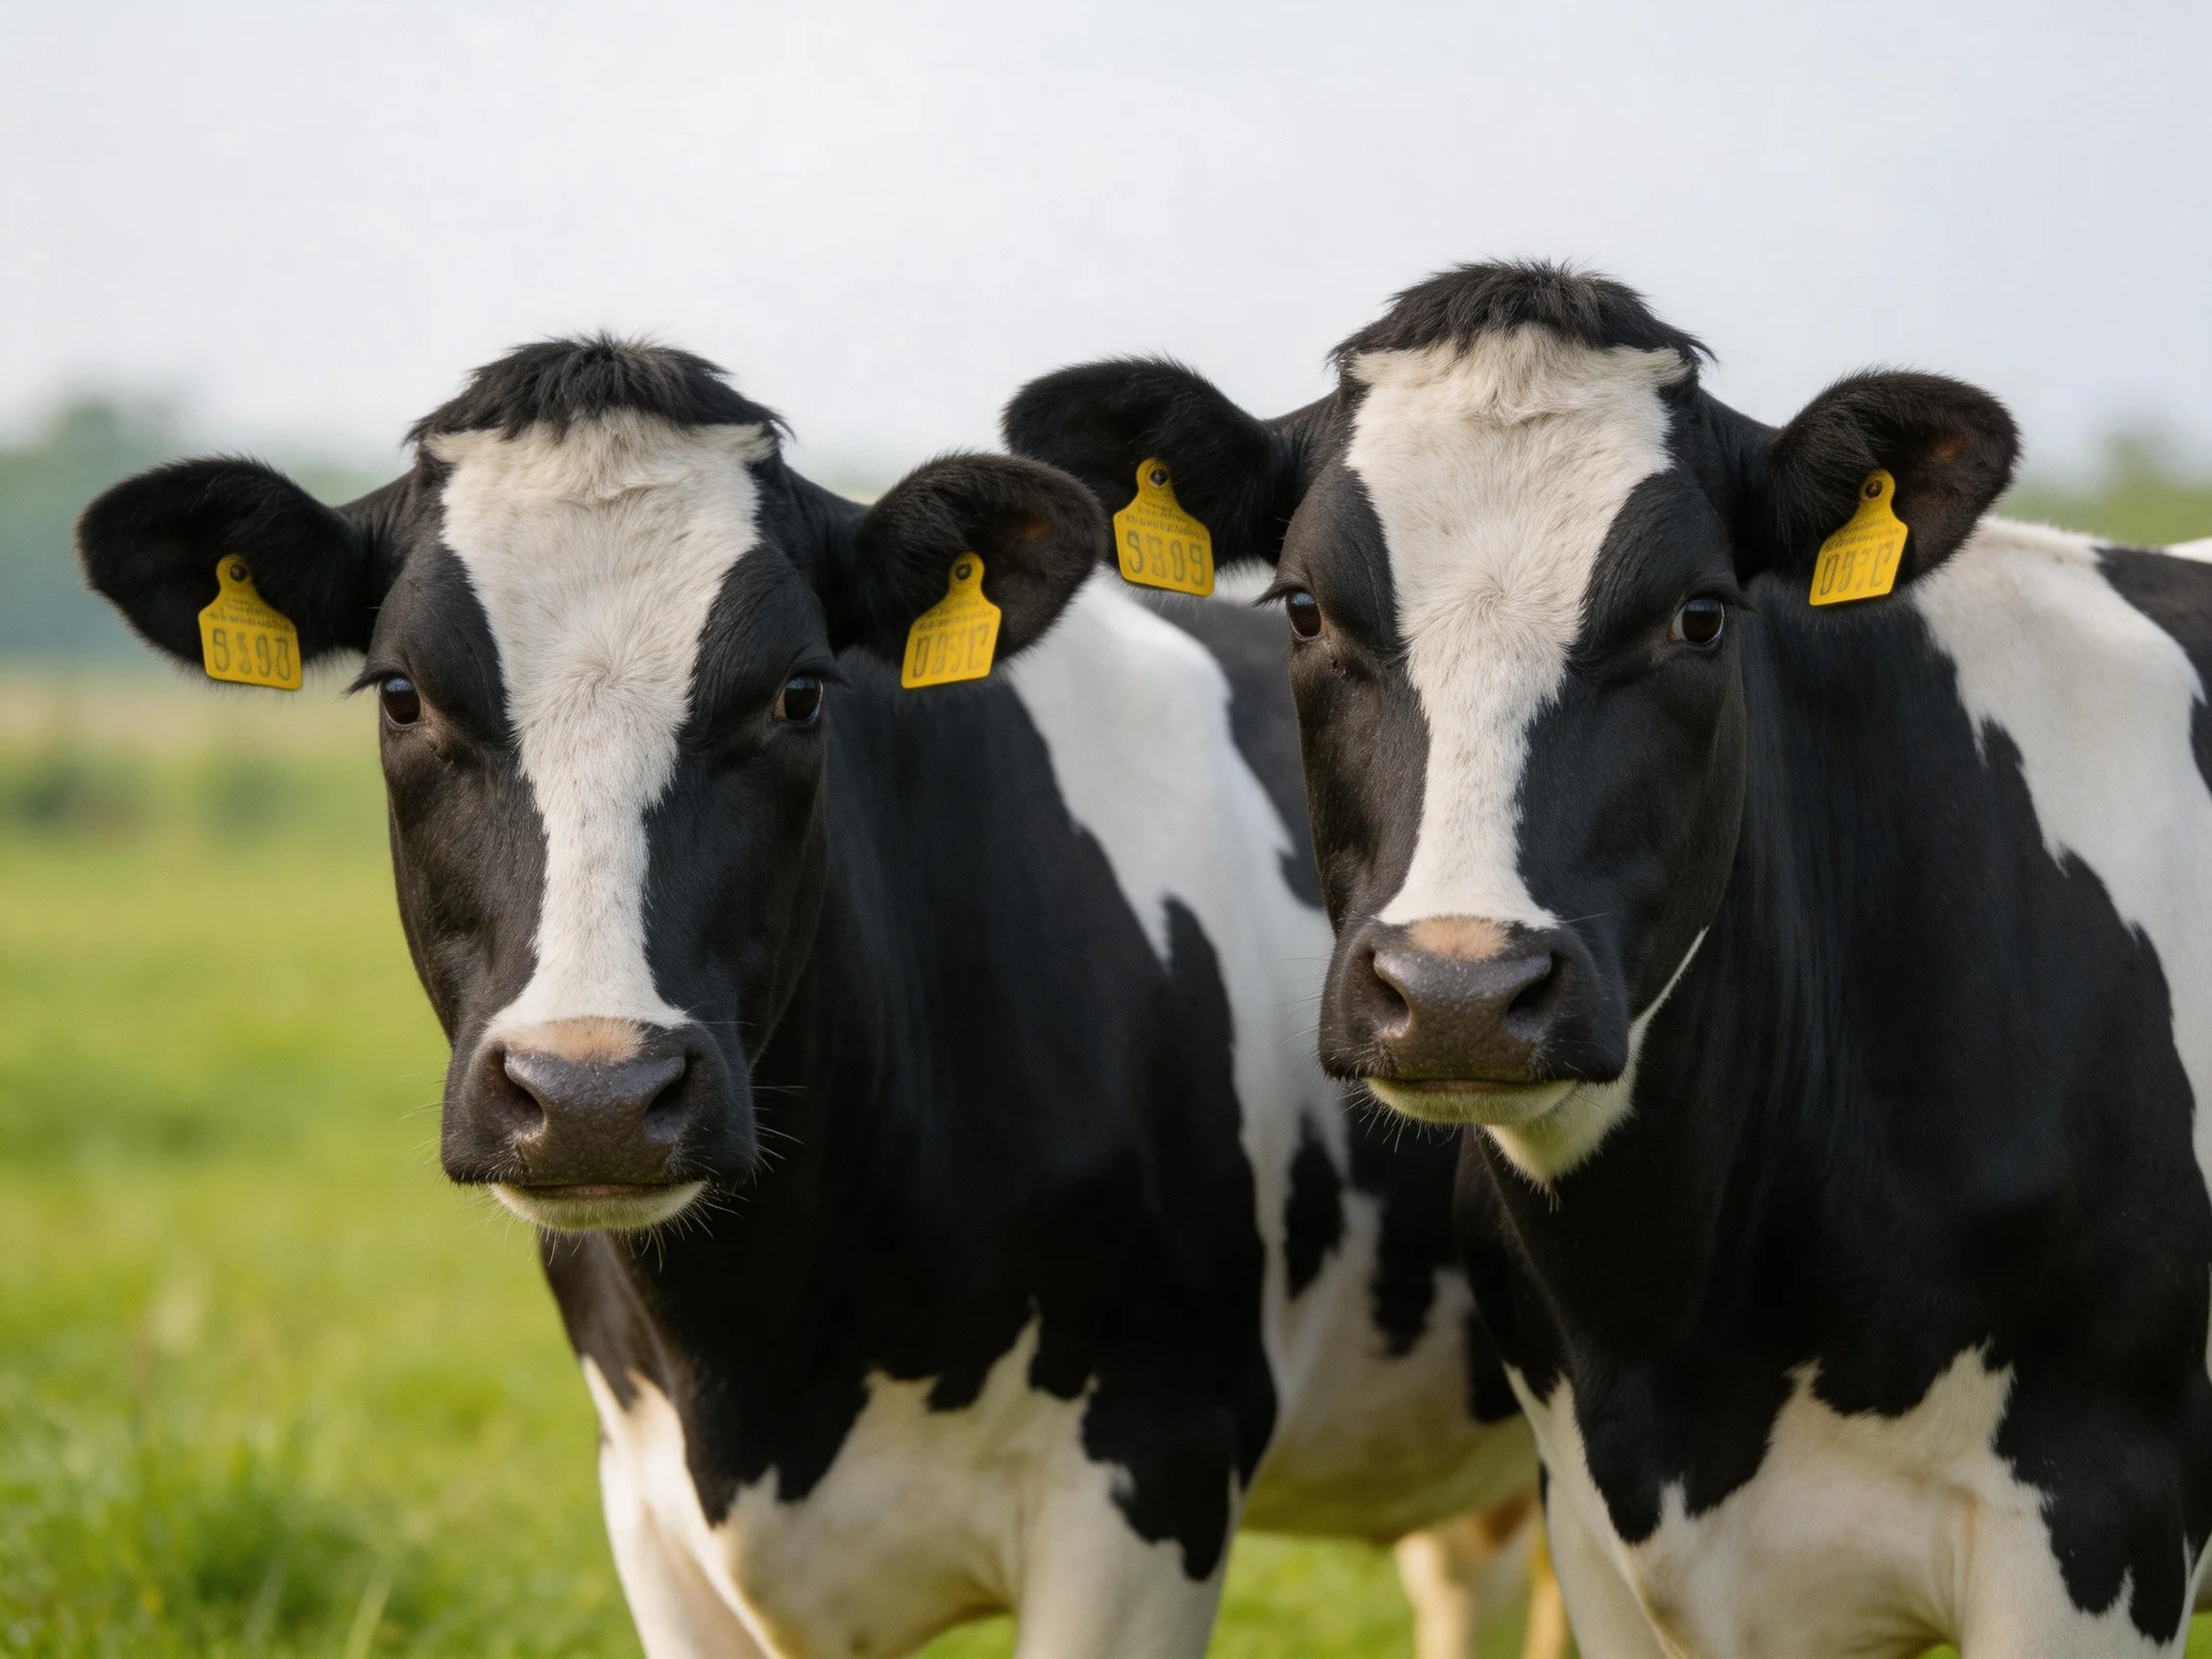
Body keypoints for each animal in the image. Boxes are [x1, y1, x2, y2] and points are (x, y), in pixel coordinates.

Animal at [76, 337, 1563, 1659]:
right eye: (400, 695)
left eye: (798, 693)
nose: (594, 1093)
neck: (764, 1359)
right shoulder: (650, 1512)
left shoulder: (1157, 1472)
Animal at [1006, 262, 2212, 1657]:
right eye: (1304, 609)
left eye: (1699, 616)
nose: (1459, 993)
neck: (1681, 1331)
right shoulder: (1598, 1534)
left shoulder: (2101, 1520)